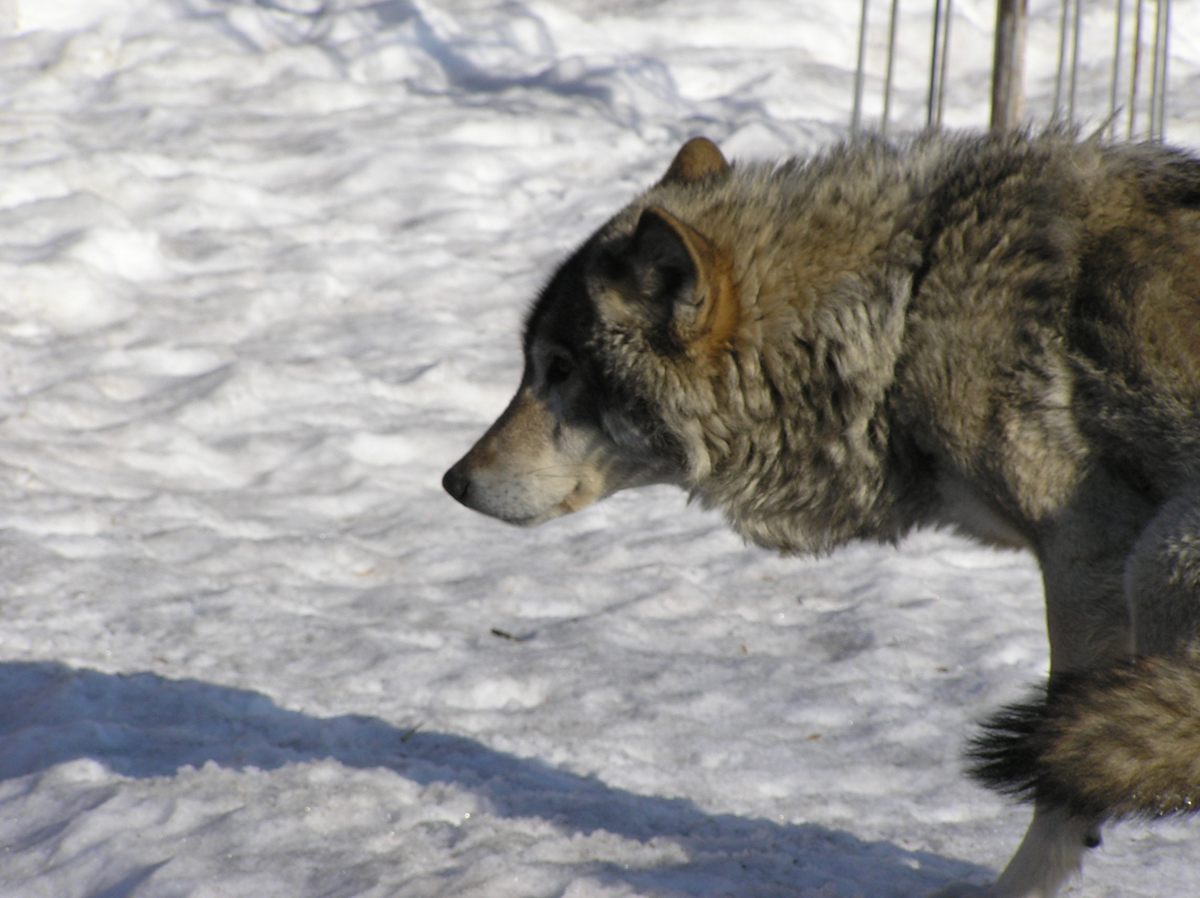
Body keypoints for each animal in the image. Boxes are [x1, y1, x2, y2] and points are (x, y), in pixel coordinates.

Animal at [443, 129, 1200, 896]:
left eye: (561, 369)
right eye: (530, 365)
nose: (452, 482)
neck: (903, 311)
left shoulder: (1085, 554)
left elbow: (1060, 780)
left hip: (1158, 561)